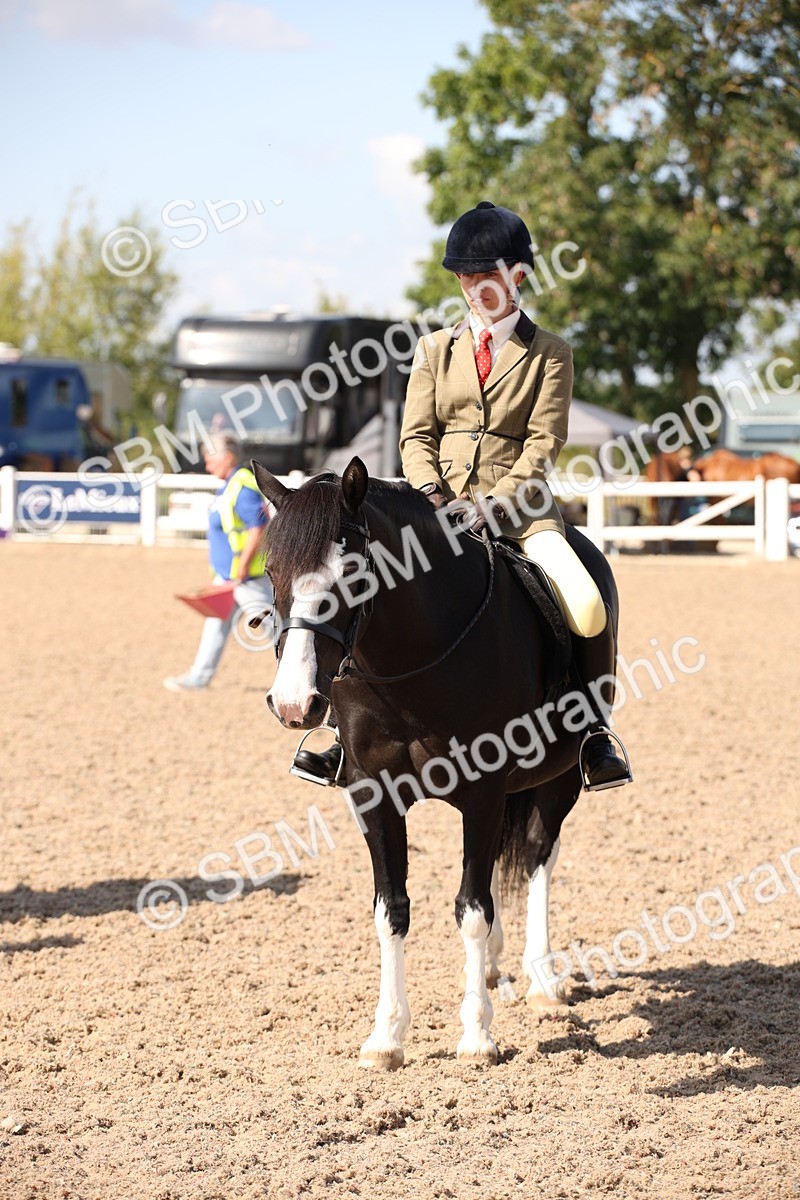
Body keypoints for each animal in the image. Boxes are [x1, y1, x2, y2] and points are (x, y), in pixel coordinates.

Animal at [253, 456, 621, 1069]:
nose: (292, 703)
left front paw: (476, 1037)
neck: (411, 661)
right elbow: (391, 910)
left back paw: (543, 981)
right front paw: (386, 1038)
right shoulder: (373, 795)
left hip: (560, 777)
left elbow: (472, 908)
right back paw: (495, 969)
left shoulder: (484, 791)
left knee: (539, 855)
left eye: (350, 572)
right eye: (271, 570)